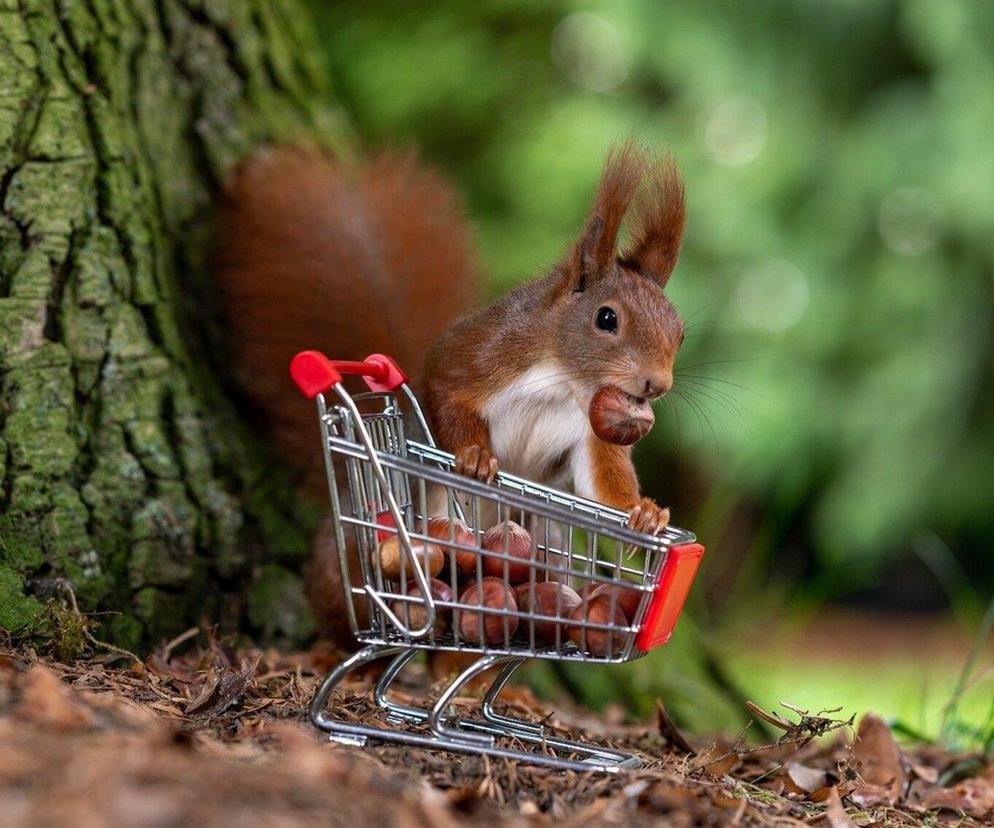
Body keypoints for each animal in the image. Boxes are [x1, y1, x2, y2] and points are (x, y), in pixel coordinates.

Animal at [215, 142, 680, 636]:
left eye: (680, 333)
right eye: (606, 318)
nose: (658, 384)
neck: (562, 382)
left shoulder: (592, 430)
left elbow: (603, 482)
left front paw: (645, 512)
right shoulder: (481, 353)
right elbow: (449, 390)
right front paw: (474, 458)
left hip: (545, 538)